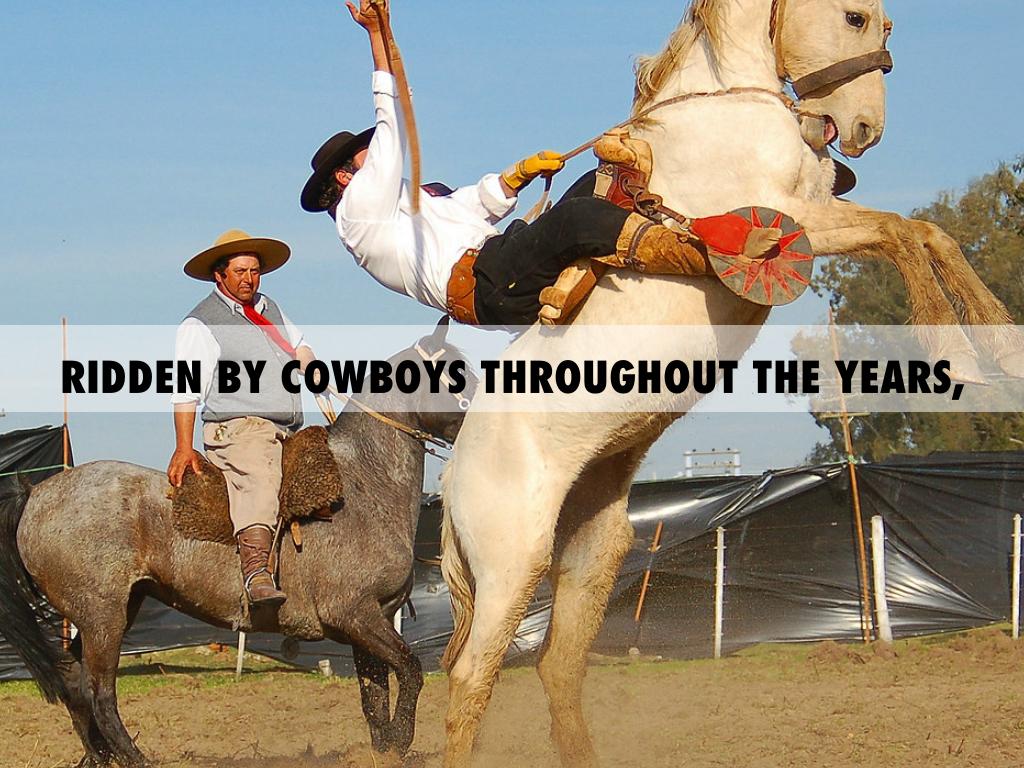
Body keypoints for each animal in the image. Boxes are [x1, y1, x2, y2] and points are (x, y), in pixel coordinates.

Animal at [0, 319, 472, 768]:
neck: (361, 485)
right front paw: (401, 740)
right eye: (455, 374)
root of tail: (36, 493)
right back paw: (135, 758)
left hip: (114, 611)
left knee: (74, 683)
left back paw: (99, 757)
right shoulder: (356, 615)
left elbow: (374, 698)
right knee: (99, 691)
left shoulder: (371, 622)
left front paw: (385, 750)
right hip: (104, 619)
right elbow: (410, 670)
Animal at [437, 1, 1024, 766]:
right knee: (470, 679)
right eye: (855, 17)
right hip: (513, 564)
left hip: (592, 550)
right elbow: (901, 234)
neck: (724, 111)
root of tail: (452, 474)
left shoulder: (820, 212)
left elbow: (925, 232)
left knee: (557, 666)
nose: (866, 129)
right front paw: (950, 346)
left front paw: (999, 340)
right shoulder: (790, 224)